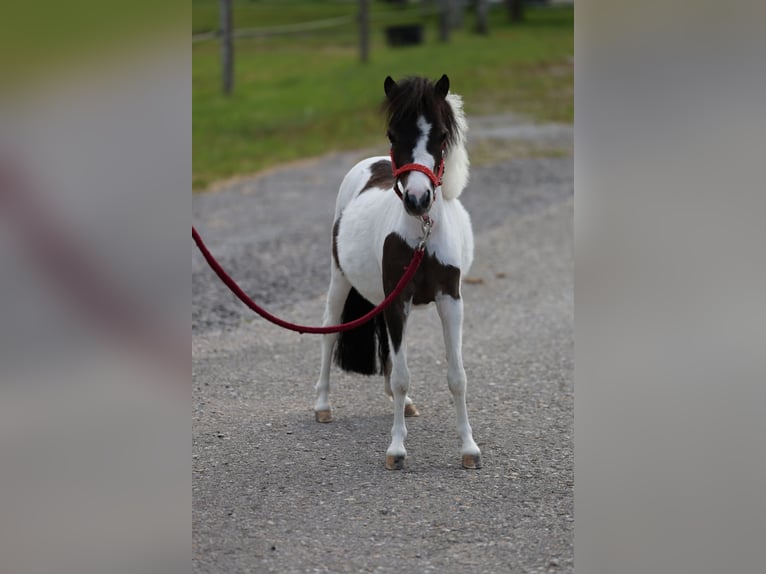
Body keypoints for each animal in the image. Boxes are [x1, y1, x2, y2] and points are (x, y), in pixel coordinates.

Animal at [313, 74, 481, 470]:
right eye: (392, 134)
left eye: (440, 135)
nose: (418, 199)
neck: (422, 232)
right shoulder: (398, 299)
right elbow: (404, 376)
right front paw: (397, 450)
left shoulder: (450, 300)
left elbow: (457, 376)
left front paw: (469, 448)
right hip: (340, 280)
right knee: (329, 331)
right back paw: (323, 405)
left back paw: (402, 405)